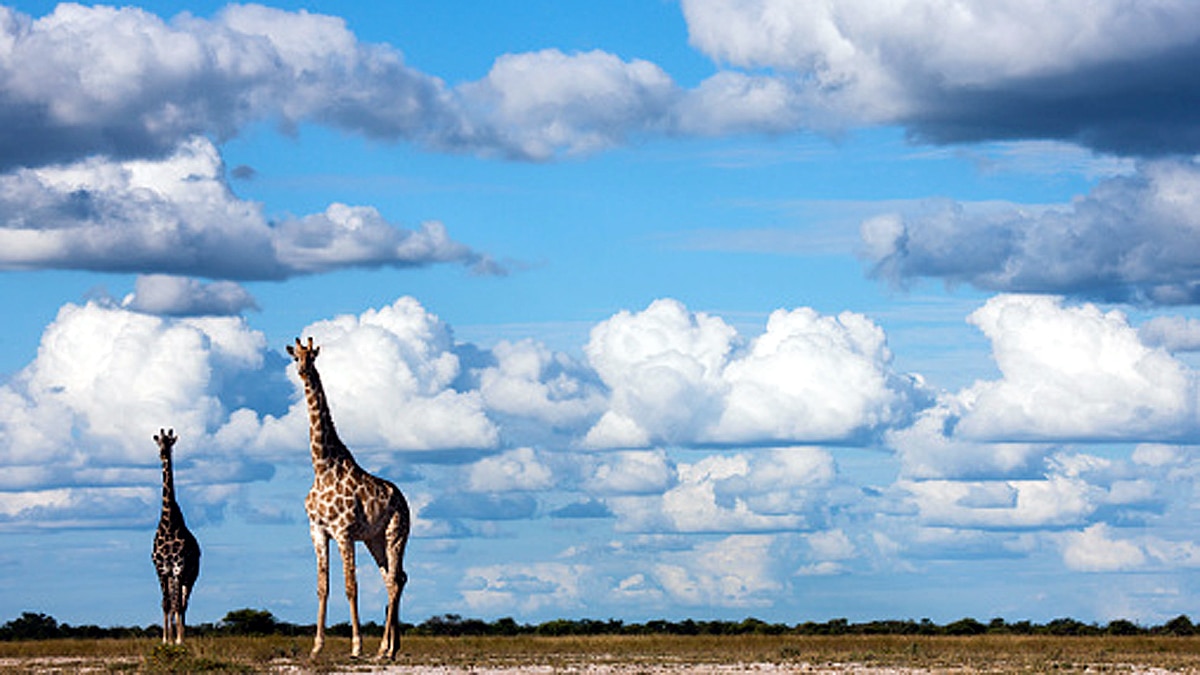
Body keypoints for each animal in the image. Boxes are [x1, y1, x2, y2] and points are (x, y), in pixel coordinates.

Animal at [286, 337, 411, 660]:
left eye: (312, 356)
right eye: (295, 357)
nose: (304, 372)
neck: (322, 466)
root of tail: (404, 501)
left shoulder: (343, 531)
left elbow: (350, 585)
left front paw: (356, 646)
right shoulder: (318, 531)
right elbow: (323, 586)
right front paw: (317, 646)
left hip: (396, 533)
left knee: (394, 580)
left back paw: (383, 649)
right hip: (374, 539)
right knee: (395, 578)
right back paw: (390, 648)